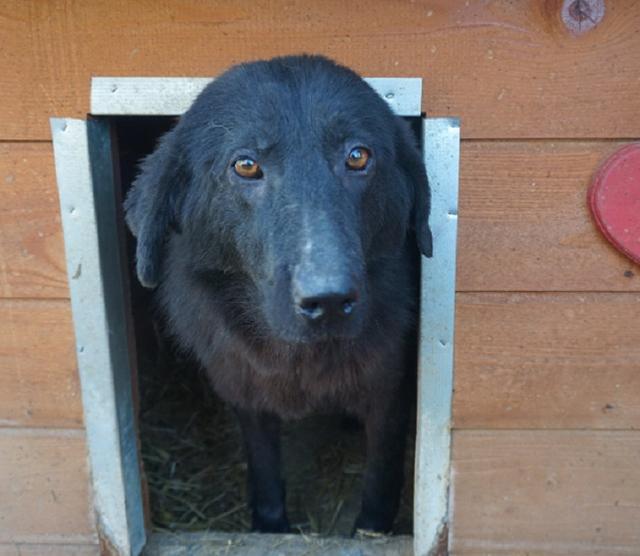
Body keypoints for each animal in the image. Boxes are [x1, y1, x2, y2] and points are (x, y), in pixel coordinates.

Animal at [125, 55, 432, 536]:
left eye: (358, 156)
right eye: (246, 165)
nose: (328, 300)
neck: (299, 359)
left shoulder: (389, 394)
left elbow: (381, 478)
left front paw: (371, 530)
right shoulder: (244, 390)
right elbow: (265, 469)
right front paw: (271, 526)